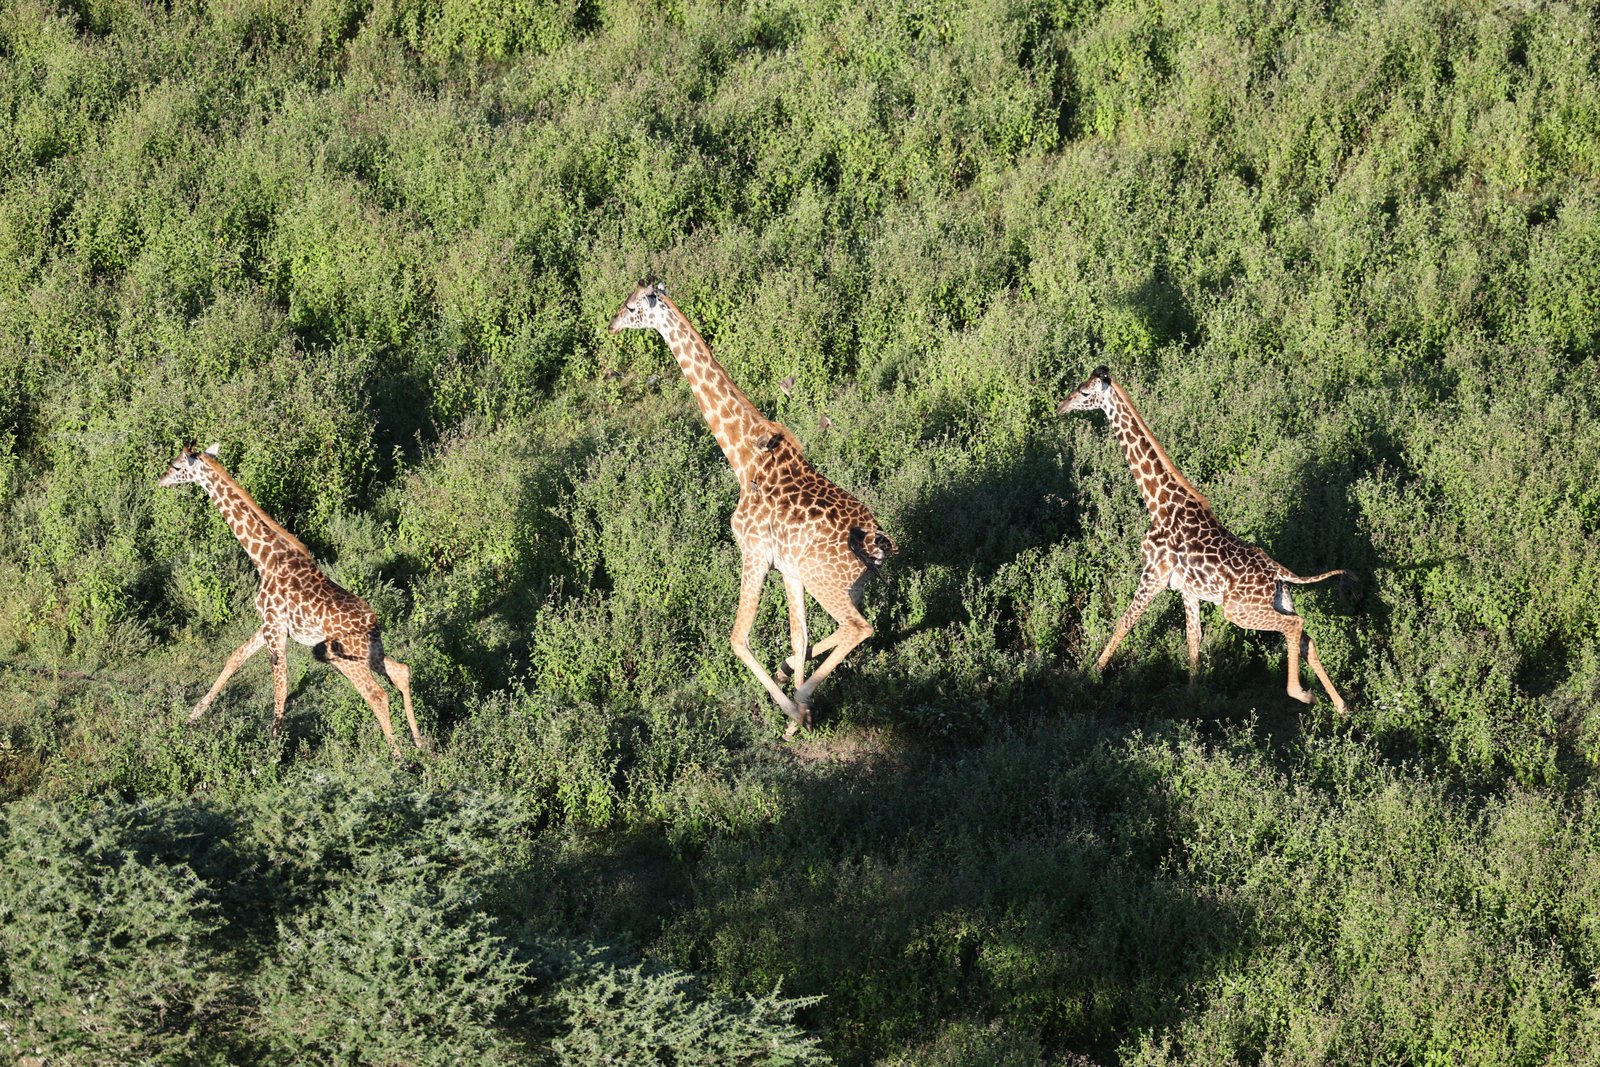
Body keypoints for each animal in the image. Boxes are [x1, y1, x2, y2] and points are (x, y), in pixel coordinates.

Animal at [158, 443, 425, 757]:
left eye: (177, 466)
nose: (161, 480)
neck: (264, 558)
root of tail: (373, 622)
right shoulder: (270, 625)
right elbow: (235, 658)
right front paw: (193, 716)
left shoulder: (274, 628)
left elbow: (280, 687)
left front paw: (273, 750)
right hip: (371, 653)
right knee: (401, 672)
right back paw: (420, 741)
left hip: (345, 657)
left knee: (377, 694)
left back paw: (398, 756)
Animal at [608, 280, 896, 739]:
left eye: (634, 307)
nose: (613, 324)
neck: (743, 457)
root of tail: (878, 543)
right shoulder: (788, 569)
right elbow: (799, 635)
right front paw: (796, 710)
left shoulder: (754, 553)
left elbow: (738, 638)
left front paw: (794, 710)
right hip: (845, 584)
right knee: (838, 630)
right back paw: (794, 687)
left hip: (825, 582)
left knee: (858, 627)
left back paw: (799, 700)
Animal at [1058, 367, 1355, 712]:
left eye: (1084, 392)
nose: (1061, 406)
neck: (1158, 503)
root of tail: (1280, 573)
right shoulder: (1187, 589)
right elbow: (1193, 639)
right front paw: (1192, 697)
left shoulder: (1153, 575)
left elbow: (1124, 622)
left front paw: (1090, 676)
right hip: (1280, 601)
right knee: (1307, 638)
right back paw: (1341, 705)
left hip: (1237, 610)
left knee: (1295, 626)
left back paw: (1302, 693)